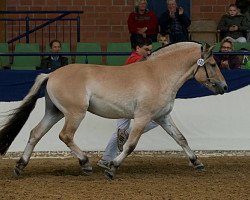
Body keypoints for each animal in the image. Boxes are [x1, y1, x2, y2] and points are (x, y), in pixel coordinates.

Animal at [0, 41, 228, 179]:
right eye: (213, 64)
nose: (224, 87)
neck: (158, 75)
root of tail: (51, 74)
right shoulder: (143, 117)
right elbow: (130, 144)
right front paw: (112, 169)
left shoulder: (162, 117)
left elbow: (180, 138)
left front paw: (197, 163)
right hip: (75, 113)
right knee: (65, 135)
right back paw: (85, 164)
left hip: (54, 112)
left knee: (35, 133)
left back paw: (20, 166)